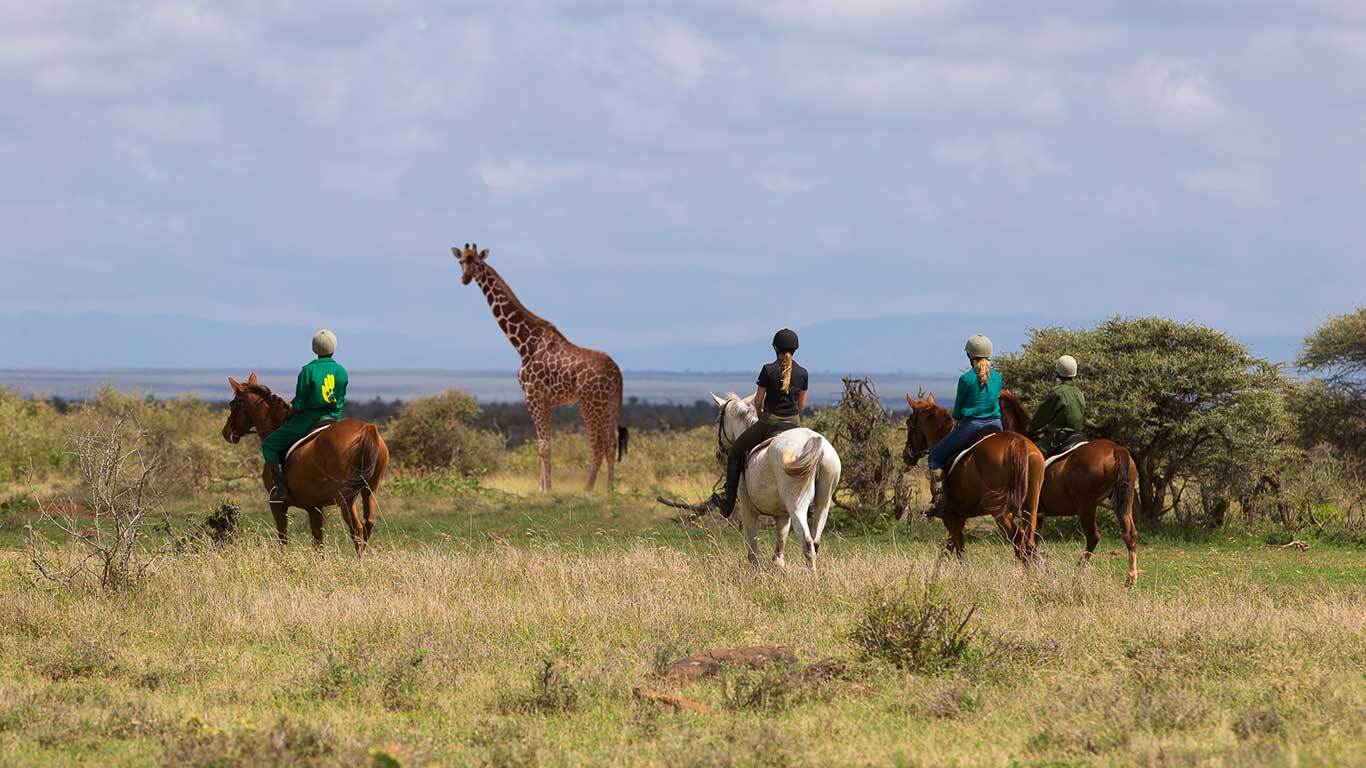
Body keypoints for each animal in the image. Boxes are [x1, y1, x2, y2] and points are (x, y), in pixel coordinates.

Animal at [221, 371, 387, 546]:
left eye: (233, 405)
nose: (226, 432)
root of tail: (366, 428)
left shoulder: (277, 504)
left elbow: (283, 539)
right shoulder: (314, 507)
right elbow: (318, 542)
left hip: (346, 499)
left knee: (357, 529)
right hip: (369, 490)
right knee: (368, 523)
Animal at [450, 241, 625, 489]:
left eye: (476, 261)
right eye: (460, 261)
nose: (465, 278)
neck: (524, 343)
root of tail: (618, 374)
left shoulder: (533, 395)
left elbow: (544, 447)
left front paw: (547, 489)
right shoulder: (545, 399)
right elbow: (541, 444)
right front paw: (541, 487)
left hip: (590, 404)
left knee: (598, 445)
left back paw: (588, 489)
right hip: (608, 406)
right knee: (611, 445)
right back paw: (609, 490)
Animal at [710, 393, 835, 568]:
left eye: (717, 421)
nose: (718, 453)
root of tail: (815, 443)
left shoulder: (748, 509)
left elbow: (753, 550)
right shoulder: (782, 515)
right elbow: (779, 552)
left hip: (797, 507)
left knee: (808, 543)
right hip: (823, 504)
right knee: (816, 541)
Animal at [901, 390, 1038, 560]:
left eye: (908, 423)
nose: (906, 455)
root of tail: (1017, 443)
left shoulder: (951, 517)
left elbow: (959, 553)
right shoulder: (959, 517)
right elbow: (949, 549)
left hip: (1000, 511)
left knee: (1019, 540)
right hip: (1030, 507)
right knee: (1030, 542)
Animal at [994, 390, 1141, 582]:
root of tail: (1116, 449)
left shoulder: (1030, 512)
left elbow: (1028, 544)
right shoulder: (1039, 514)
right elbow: (1032, 543)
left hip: (1086, 506)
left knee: (1093, 537)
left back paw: (1076, 575)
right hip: (1124, 502)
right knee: (1130, 535)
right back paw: (1131, 579)